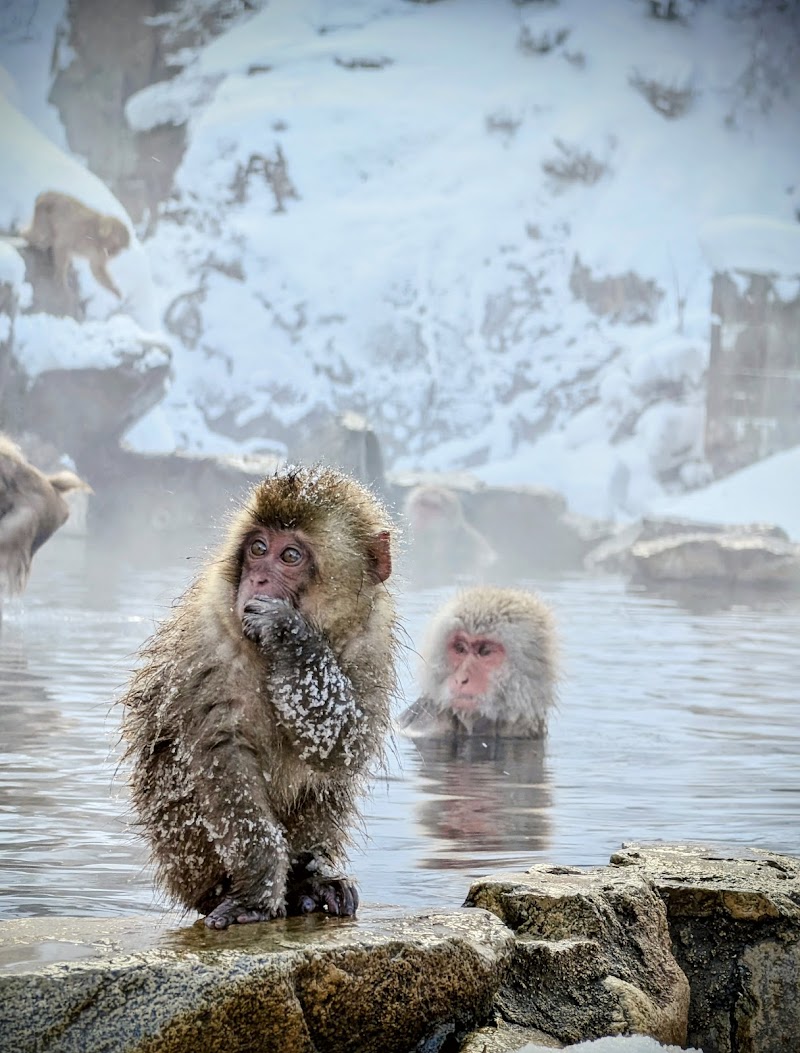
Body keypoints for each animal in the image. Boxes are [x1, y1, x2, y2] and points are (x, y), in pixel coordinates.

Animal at [119, 464, 398, 929]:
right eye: (258, 548)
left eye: (290, 556)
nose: (259, 579)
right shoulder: (212, 640)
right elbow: (223, 756)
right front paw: (255, 895)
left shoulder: (370, 641)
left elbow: (345, 746)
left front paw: (289, 635)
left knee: (328, 784)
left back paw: (310, 880)